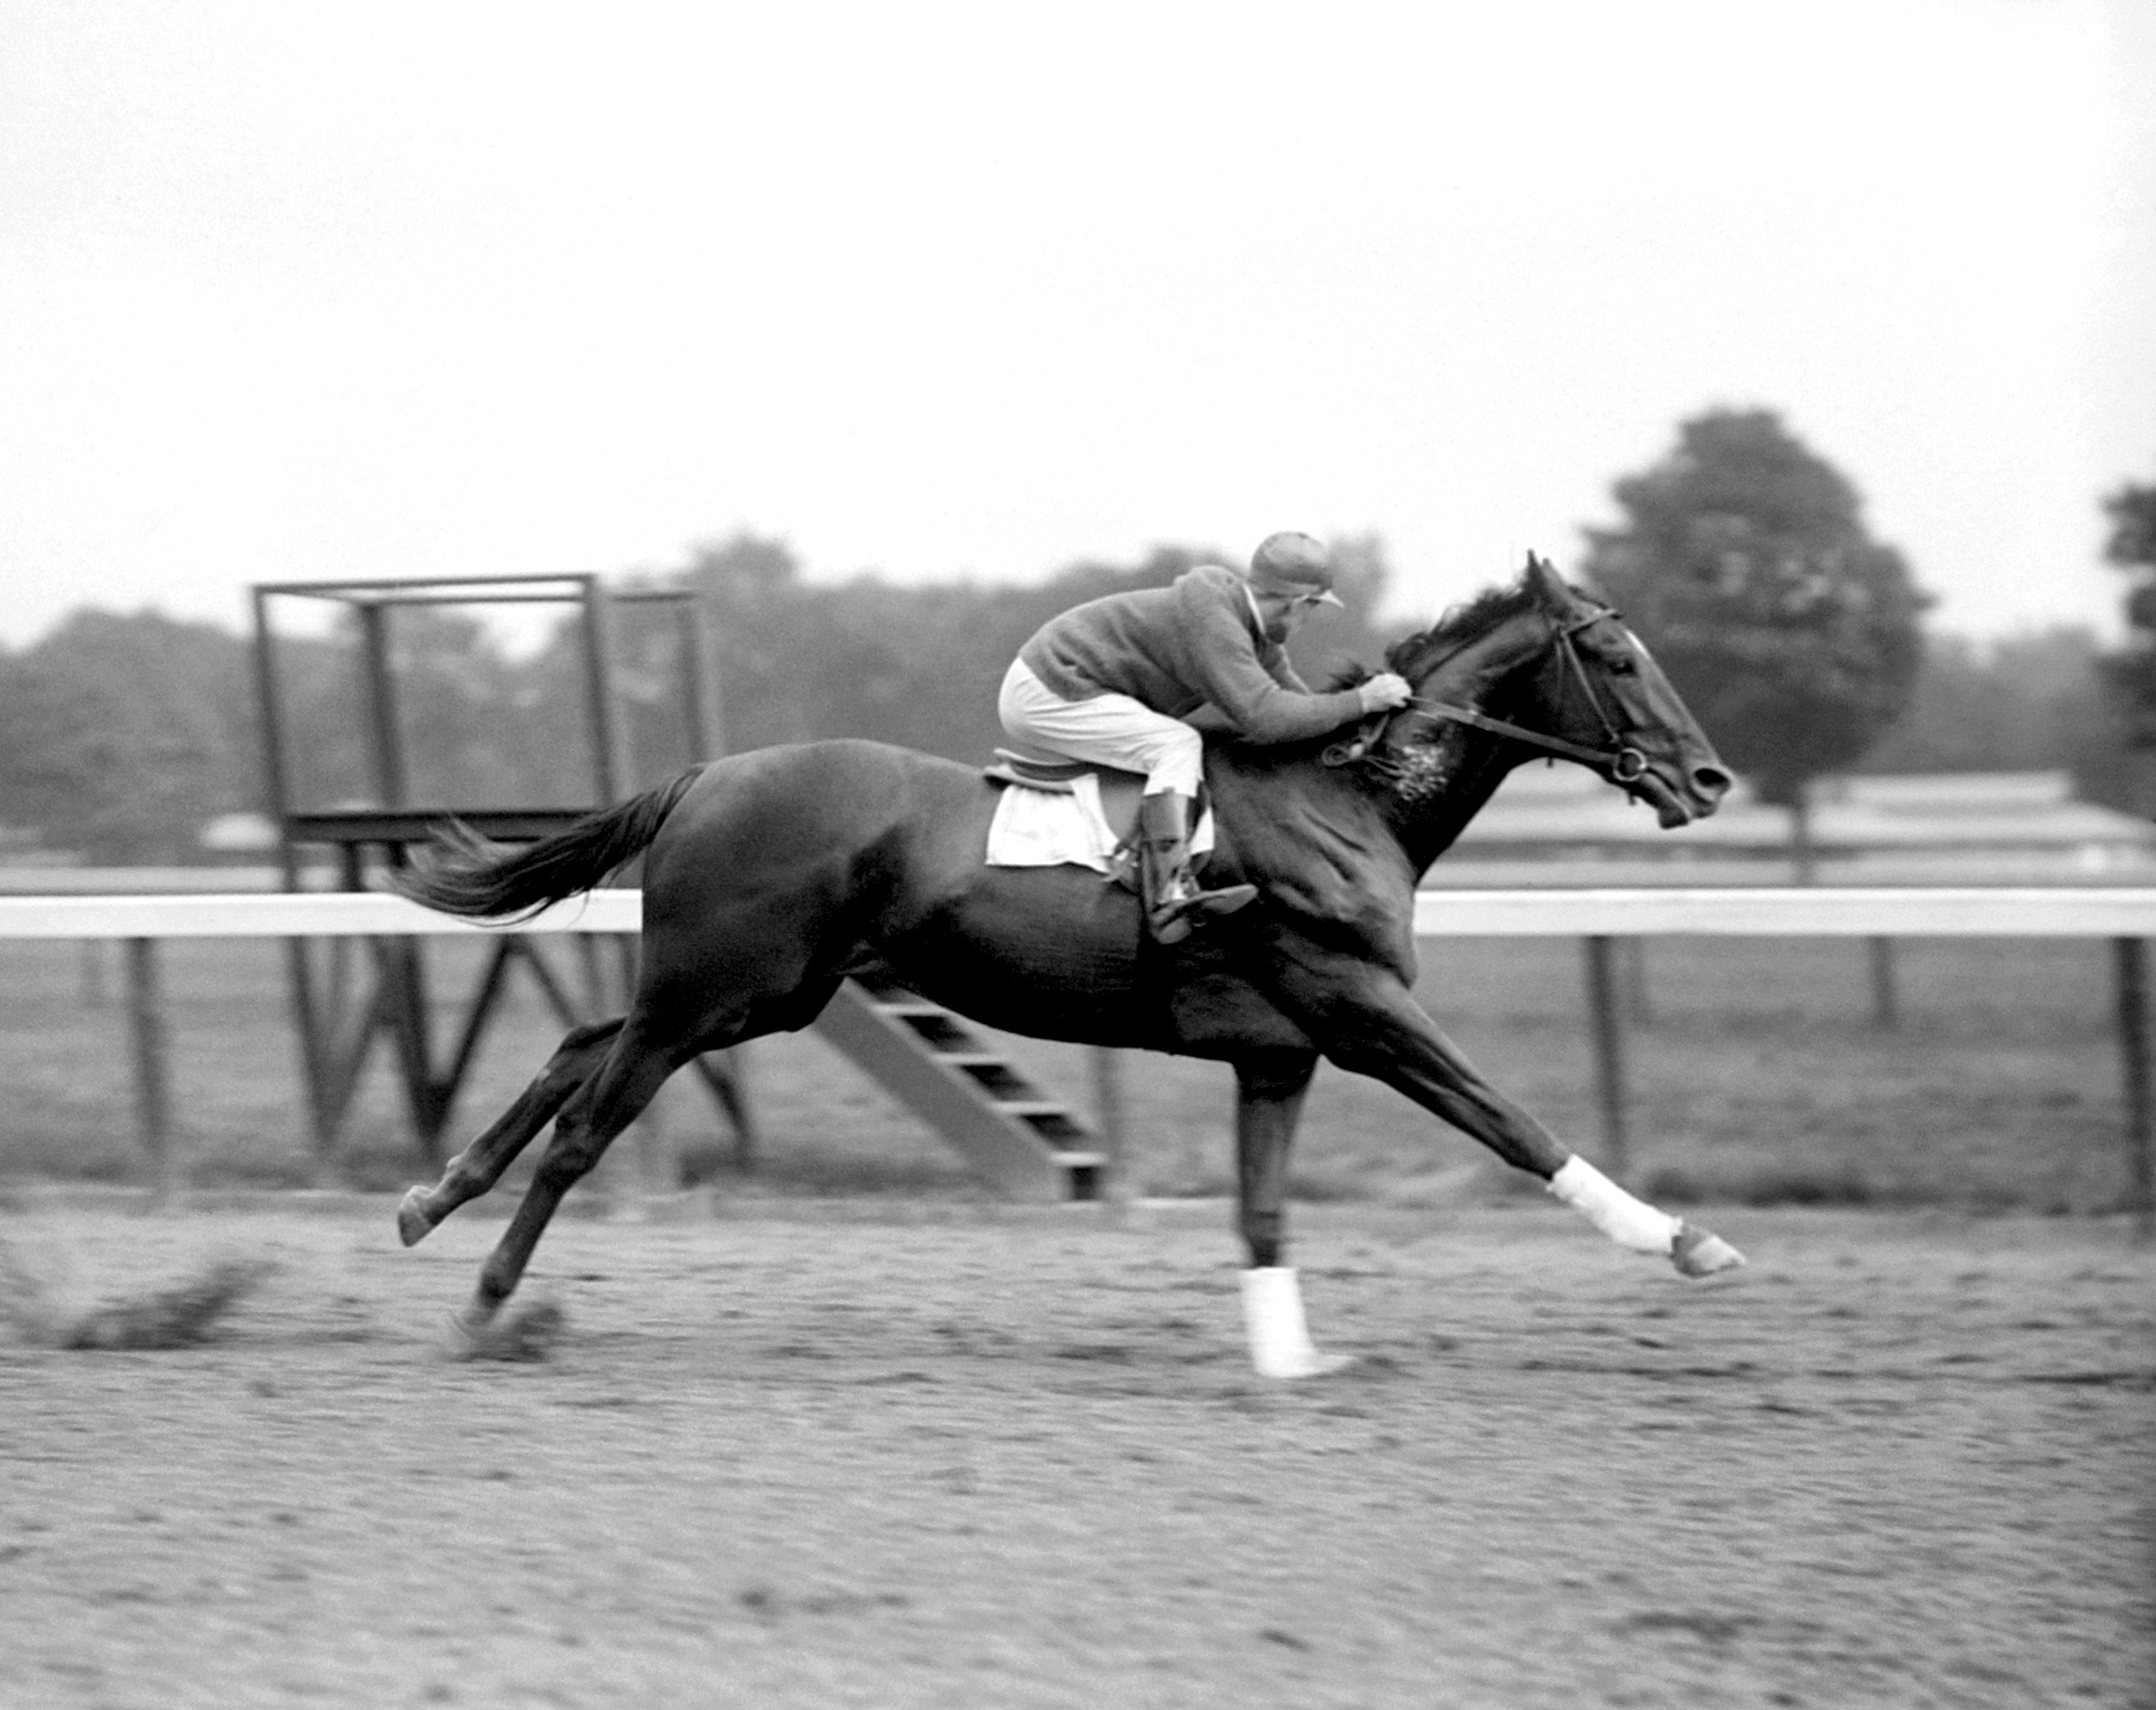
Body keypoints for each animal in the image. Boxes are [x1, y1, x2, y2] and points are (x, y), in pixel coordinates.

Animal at [396, 560, 1742, 1371]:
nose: (1709, 777)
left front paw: (1287, 1358)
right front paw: (1684, 1241)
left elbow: (1261, 1216)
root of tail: (700, 775)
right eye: (1616, 658)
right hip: (716, 993)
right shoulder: (1359, 1010)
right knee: (586, 1125)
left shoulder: (1279, 1053)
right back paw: (485, 1301)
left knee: (577, 1047)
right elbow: (1513, 1123)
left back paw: (434, 1192)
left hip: (755, 996)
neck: (1344, 794)